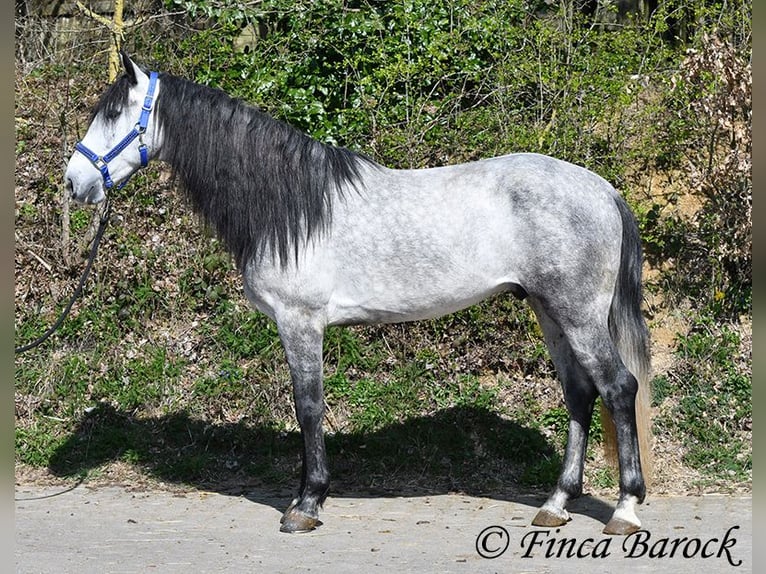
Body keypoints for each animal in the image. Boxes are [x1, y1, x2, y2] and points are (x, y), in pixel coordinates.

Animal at [64, 53, 652, 535]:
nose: (74, 183)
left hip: (577, 313)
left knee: (618, 387)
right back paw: (556, 504)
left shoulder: (300, 321)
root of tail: (603, 189)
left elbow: (307, 406)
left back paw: (625, 509)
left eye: (115, 115)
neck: (291, 206)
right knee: (579, 393)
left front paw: (306, 505)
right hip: (549, 311)